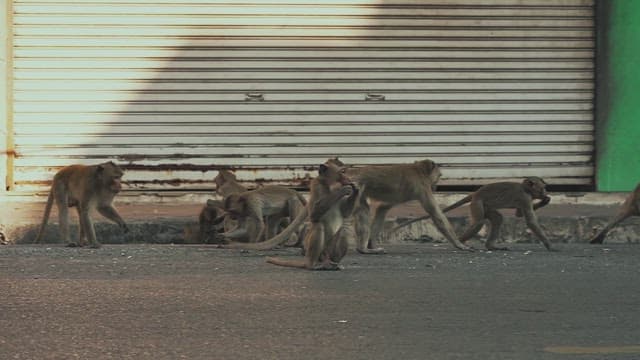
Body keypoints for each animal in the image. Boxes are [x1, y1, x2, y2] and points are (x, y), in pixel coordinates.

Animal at [392, 176, 552, 250]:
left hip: (485, 205)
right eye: (543, 188)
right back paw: (461, 242)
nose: (545, 192)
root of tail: (476, 193)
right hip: (477, 203)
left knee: (497, 219)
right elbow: (530, 221)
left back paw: (490, 246)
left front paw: (546, 201)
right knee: (479, 222)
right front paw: (549, 245)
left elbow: (519, 214)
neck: (526, 189)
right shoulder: (525, 198)